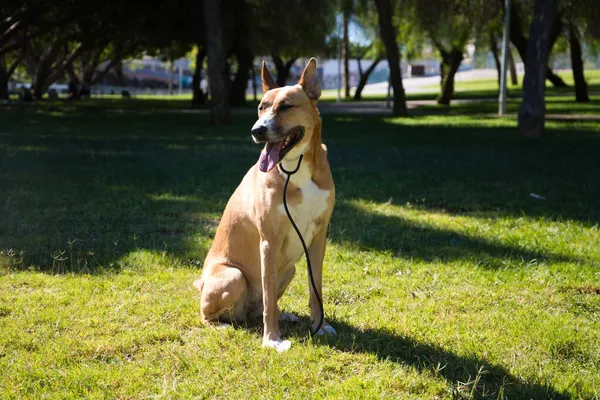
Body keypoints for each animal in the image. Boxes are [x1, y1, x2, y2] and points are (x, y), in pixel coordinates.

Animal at [195, 57, 336, 352]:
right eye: (261, 107)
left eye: (286, 106)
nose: (257, 130)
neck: (296, 168)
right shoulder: (269, 241)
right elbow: (270, 300)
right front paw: (272, 339)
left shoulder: (319, 238)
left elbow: (316, 288)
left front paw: (320, 326)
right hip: (233, 276)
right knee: (213, 315)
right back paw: (223, 324)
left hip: (290, 269)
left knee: (257, 307)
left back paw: (284, 315)